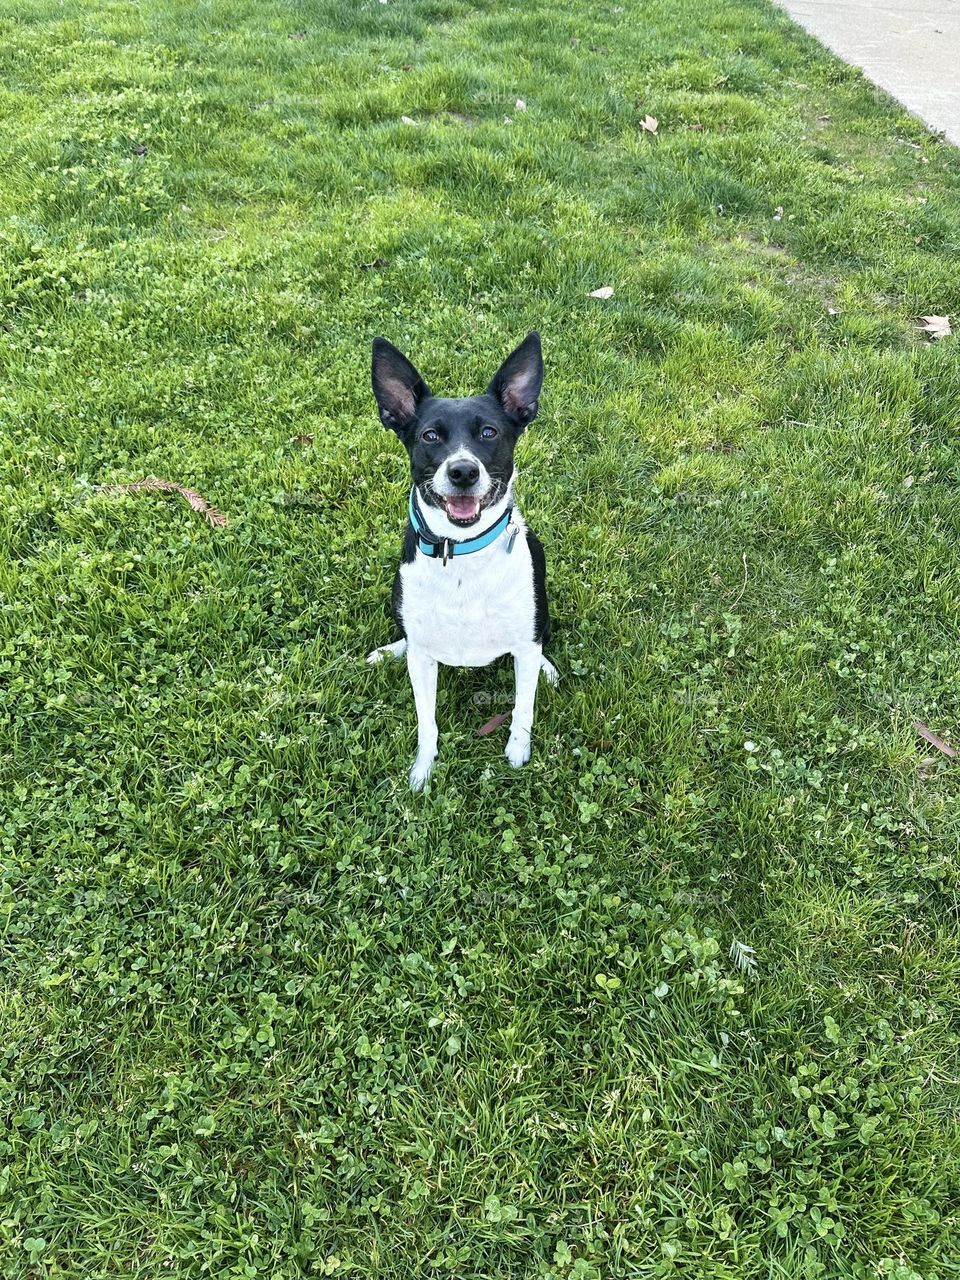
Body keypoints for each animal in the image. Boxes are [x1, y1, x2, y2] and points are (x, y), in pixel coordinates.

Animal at [371, 330, 563, 788]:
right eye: (429, 436)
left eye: (489, 432)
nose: (462, 471)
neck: (459, 552)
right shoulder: (423, 659)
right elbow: (426, 721)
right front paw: (423, 769)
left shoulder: (524, 643)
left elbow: (523, 705)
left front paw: (518, 750)